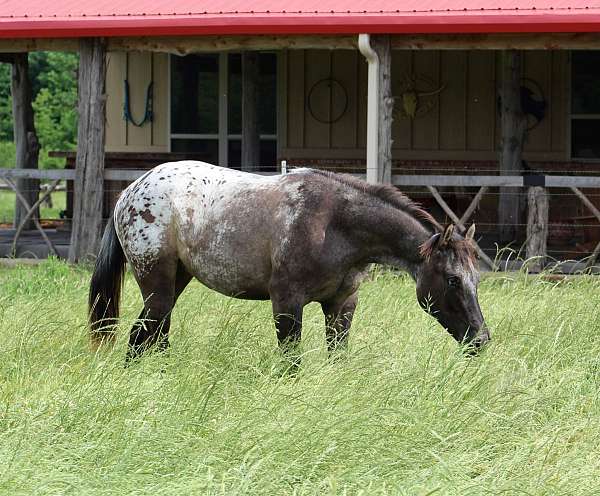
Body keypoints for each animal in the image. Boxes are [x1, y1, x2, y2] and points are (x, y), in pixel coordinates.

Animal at [90, 162, 492, 360]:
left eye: (476, 279)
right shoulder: (287, 302)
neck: (334, 224)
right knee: (139, 338)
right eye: (452, 279)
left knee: (154, 337)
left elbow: (337, 358)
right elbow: (290, 362)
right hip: (157, 286)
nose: (482, 339)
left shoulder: (342, 305)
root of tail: (130, 191)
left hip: (176, 281)